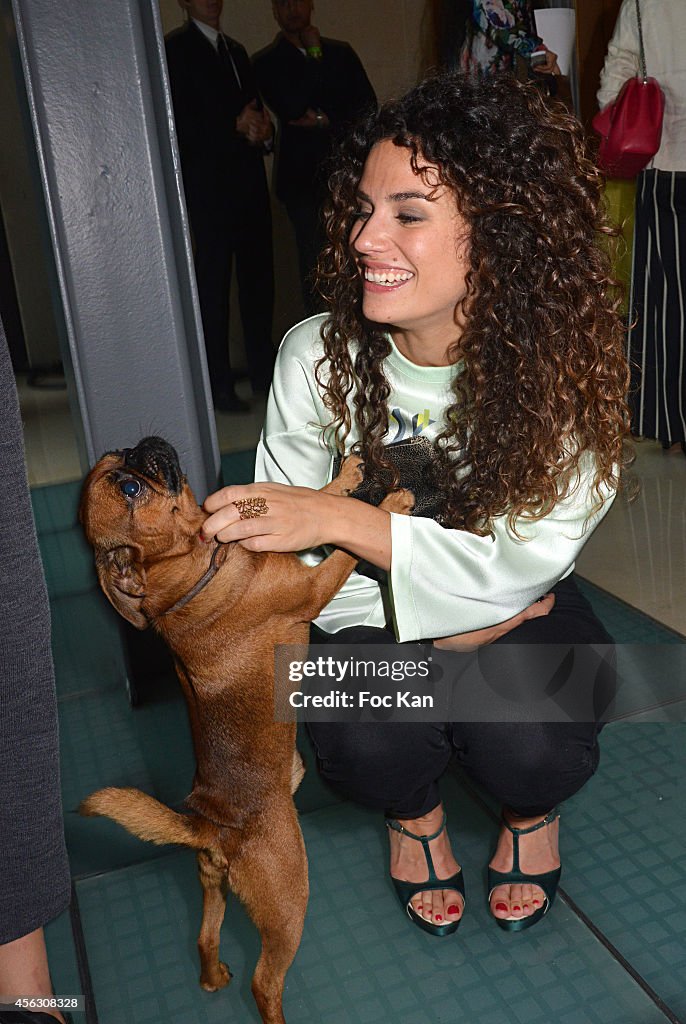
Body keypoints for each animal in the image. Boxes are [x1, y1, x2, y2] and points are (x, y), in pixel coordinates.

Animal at [80, 434, 413, 1024]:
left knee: (205, 937)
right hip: (288, 902)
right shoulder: (313, 587)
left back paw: (212, 977)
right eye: (130, 488)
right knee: (265, 983)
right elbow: (344, 550)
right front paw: (390, 508)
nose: (143, 445)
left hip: (214, 885)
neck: (196, 565)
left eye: (122, 463)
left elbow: (317, 501)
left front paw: (347, 478)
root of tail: (210, 827)